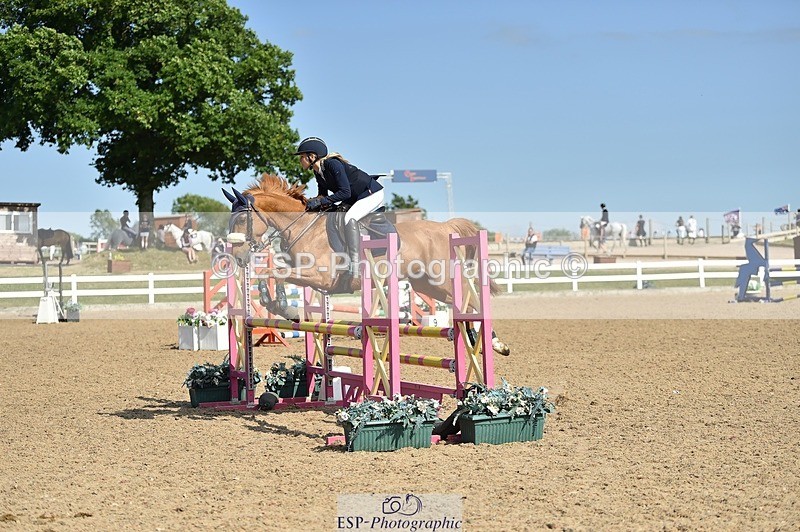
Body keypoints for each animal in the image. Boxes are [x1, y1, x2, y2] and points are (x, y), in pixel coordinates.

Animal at [223, 173, 511, 357]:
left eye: (241, 220)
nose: (238, 256)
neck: (304, 227)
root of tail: (444, 227)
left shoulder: (319, 277)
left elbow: (275, 273)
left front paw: (285, 308)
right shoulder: (310, 278)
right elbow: (269, 275)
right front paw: (279, 307)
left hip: (441, 280)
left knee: (473, 302)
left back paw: (496, 345)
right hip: (427, 285)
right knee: (464, 305)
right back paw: (480, 341)